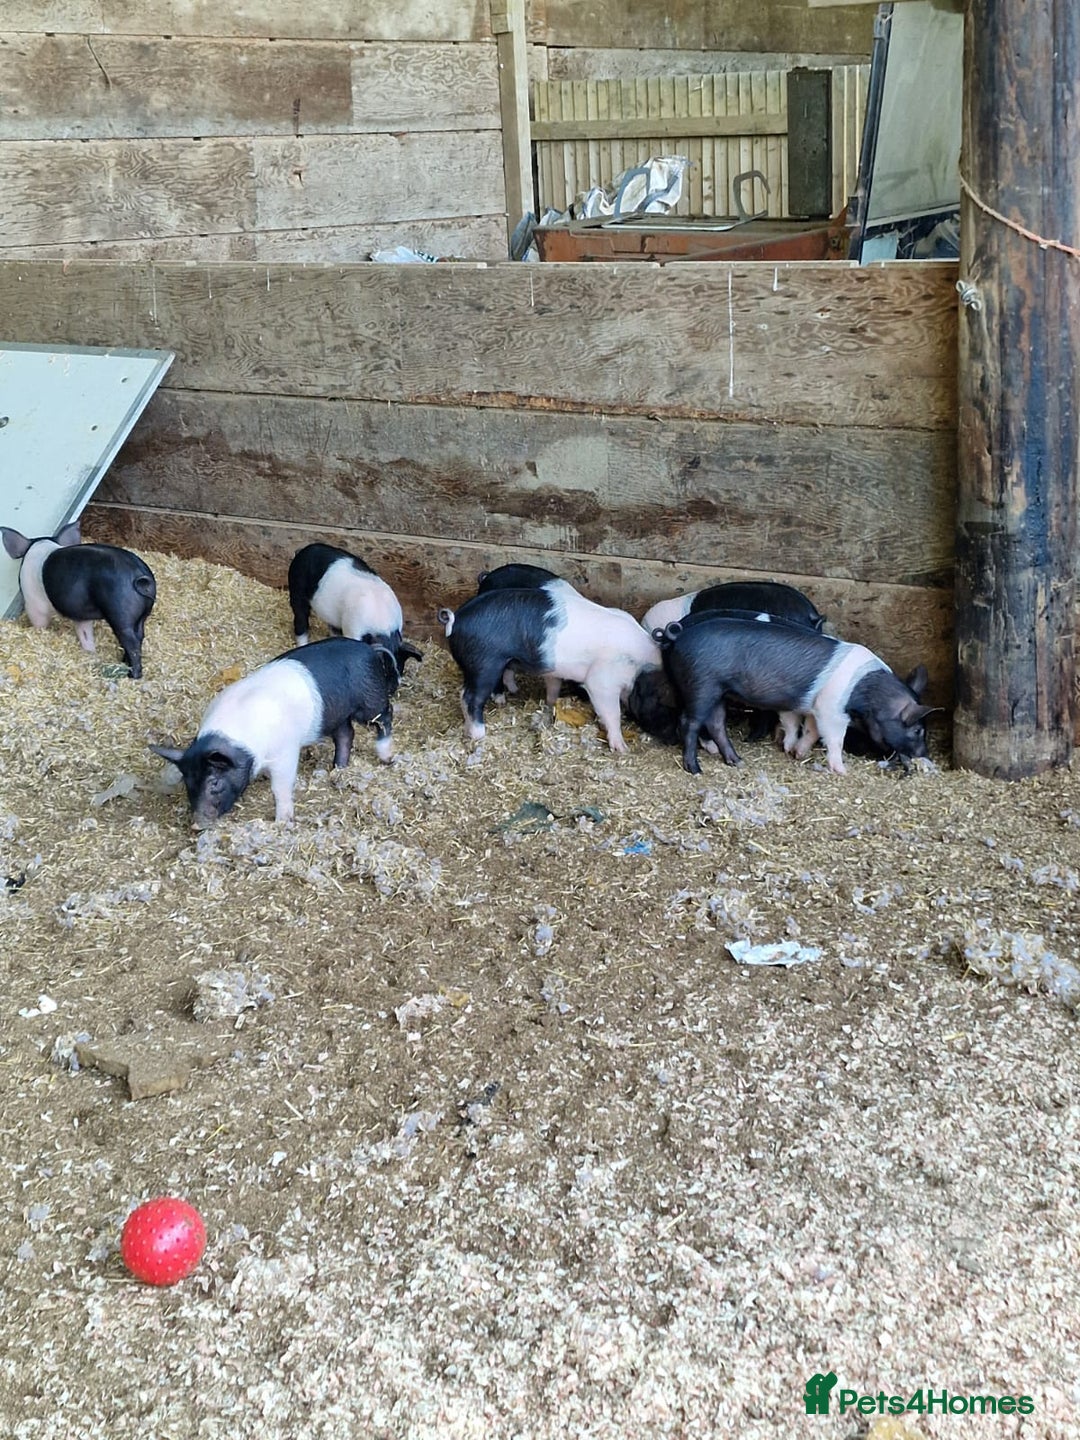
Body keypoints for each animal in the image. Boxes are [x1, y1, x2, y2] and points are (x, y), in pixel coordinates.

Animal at [2, 522, 156, 678]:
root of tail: (139, 576)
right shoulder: (81, 616)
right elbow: (85, 634)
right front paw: (90, 653)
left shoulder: (34, 604)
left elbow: (39, 623)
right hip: (141, 616)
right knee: (139, 636)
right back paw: (124, 662)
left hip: (120, 613)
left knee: (132, 643)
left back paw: (132, 675)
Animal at [150, 636, 399, 825]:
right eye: (187, 781)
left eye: (214, 783)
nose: (198, 824)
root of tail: (369, 648)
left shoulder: (285, 753)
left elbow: (280, 787)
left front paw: (281, 821)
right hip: (335, 714)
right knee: (346, 734)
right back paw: (337, 769)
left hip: (370, 700)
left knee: (385, 716)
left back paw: (386, 757)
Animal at [287, 543, 421, 675]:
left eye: (400, 669)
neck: (383, 627)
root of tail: (303, 551)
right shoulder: (352, 629)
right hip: (296, 590)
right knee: (300, 621)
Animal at [438, 580, 660, 752]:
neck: (640, 661)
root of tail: (456, 621)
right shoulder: (603, 680)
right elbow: (611, 711)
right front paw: (622, 749)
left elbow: (553, 688)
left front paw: (551, 705)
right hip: (484, 663)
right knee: (469, 696)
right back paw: (479, 735)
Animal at [660, 615, 934, 775]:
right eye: (917, 730)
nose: (924, 754)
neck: (868, 693)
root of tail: (679, 636)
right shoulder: (831, 709)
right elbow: (834, 739)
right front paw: (841, 771)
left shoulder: (811, 705)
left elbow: (807, 729)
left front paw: (796, 752)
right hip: (702, 684)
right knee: (689, 722)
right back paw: (695, 770)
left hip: (718, 691)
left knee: (716, 724)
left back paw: (738, 762)